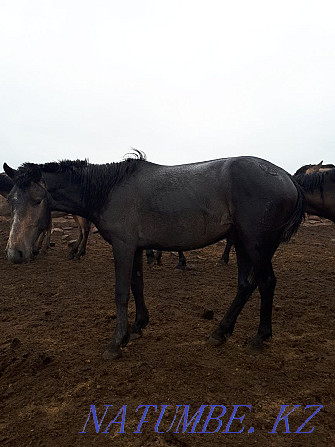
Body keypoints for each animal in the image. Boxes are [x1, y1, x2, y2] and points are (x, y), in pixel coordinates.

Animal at [3, 156, 306, 358]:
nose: (15, 253)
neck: (110, 190)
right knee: (245, 285)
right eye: (11, 200)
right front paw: (137, 326)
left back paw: (259, 337)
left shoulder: (123, 246)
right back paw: (220, 332)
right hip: (243, 244)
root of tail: (287, 177)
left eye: (37, 200)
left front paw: (116, 343)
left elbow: (121, 292)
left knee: (266, 283)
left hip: (257, 246)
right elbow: (137, 284)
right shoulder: (136, 248)